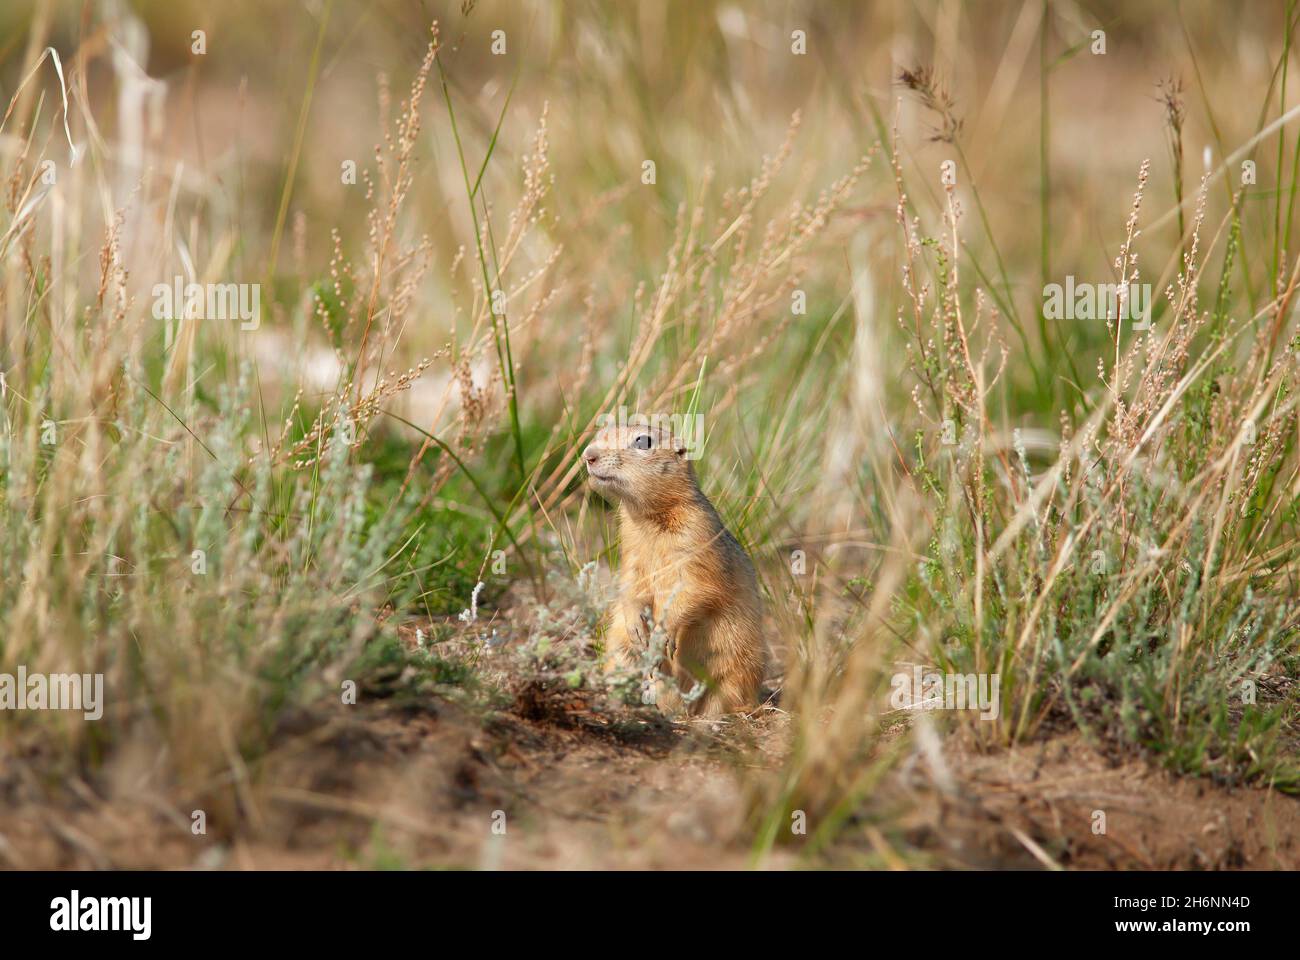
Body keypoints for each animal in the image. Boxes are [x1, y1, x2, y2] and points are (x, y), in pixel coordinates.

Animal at [585, 418, 764, 712]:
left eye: (643, 441)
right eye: (601, 432)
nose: (588, 455)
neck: (648, 517)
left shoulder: (697, 539)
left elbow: (695, 588)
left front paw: (662, 633)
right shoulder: (631, 551)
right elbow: (630, 585)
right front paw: (638, 627)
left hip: (735, 674)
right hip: (620, 654)